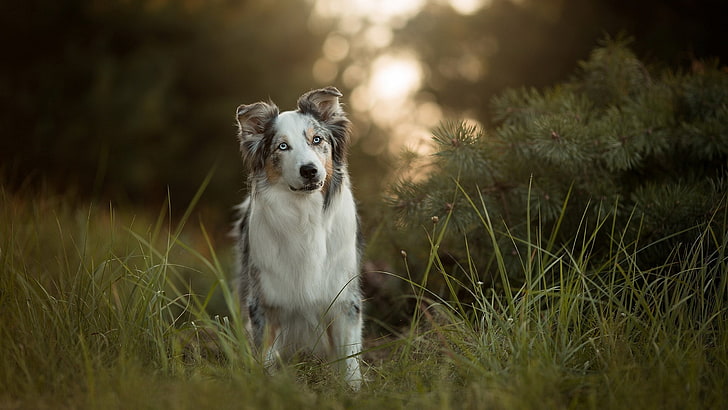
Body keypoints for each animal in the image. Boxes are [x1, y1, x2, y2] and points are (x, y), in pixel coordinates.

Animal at [233, 85, 364, 388]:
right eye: (282, 146)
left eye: (317, 139)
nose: (309, 170)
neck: (306, 216)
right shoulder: (265, 302)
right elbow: (266, 355)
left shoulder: (343, 298)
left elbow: (350, 358)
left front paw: (353, 390)